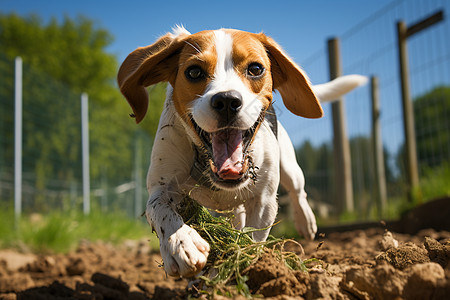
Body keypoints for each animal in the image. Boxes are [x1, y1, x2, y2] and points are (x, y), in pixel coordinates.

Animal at [118, 27, 368, 278]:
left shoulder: (264, 201)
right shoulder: (161, 187)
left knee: (298, 192)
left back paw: (305, 221)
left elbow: (253, 238)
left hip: (289, 167)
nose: (227, 100)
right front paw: (180, 243)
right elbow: (159, 211)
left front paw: (244, 262)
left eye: (256, 69)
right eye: (194, 72)